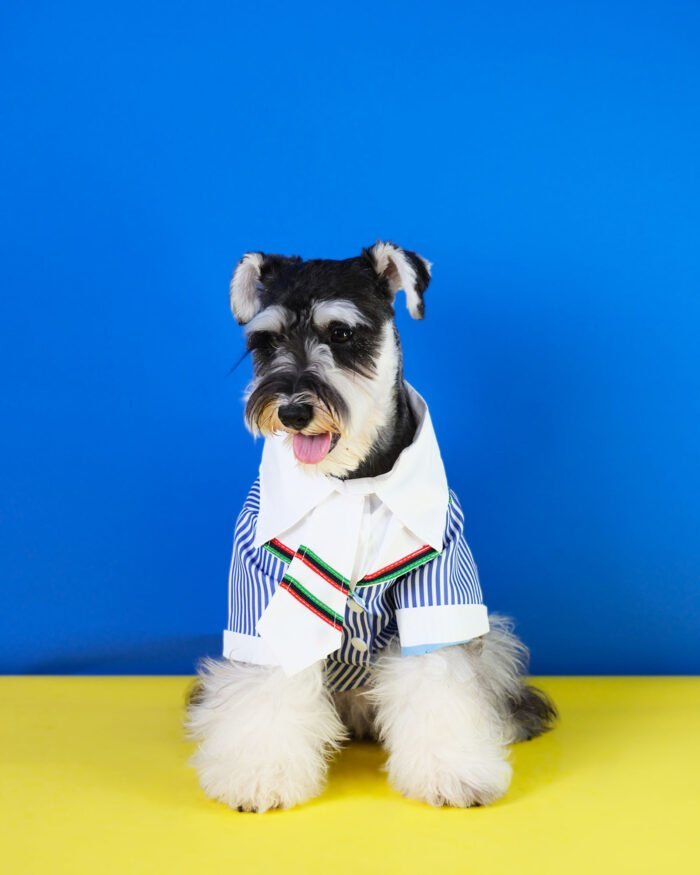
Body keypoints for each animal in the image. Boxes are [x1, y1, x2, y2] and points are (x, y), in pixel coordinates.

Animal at [187, 241, 556, 816]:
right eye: (265, 342)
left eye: (341, 334)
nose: (292, 410)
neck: (353, 482)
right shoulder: (262, 594)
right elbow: (269, 682)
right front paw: (259, 773)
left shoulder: (436, 591)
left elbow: (437, 678)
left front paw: (453, 771)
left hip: (489, 636)